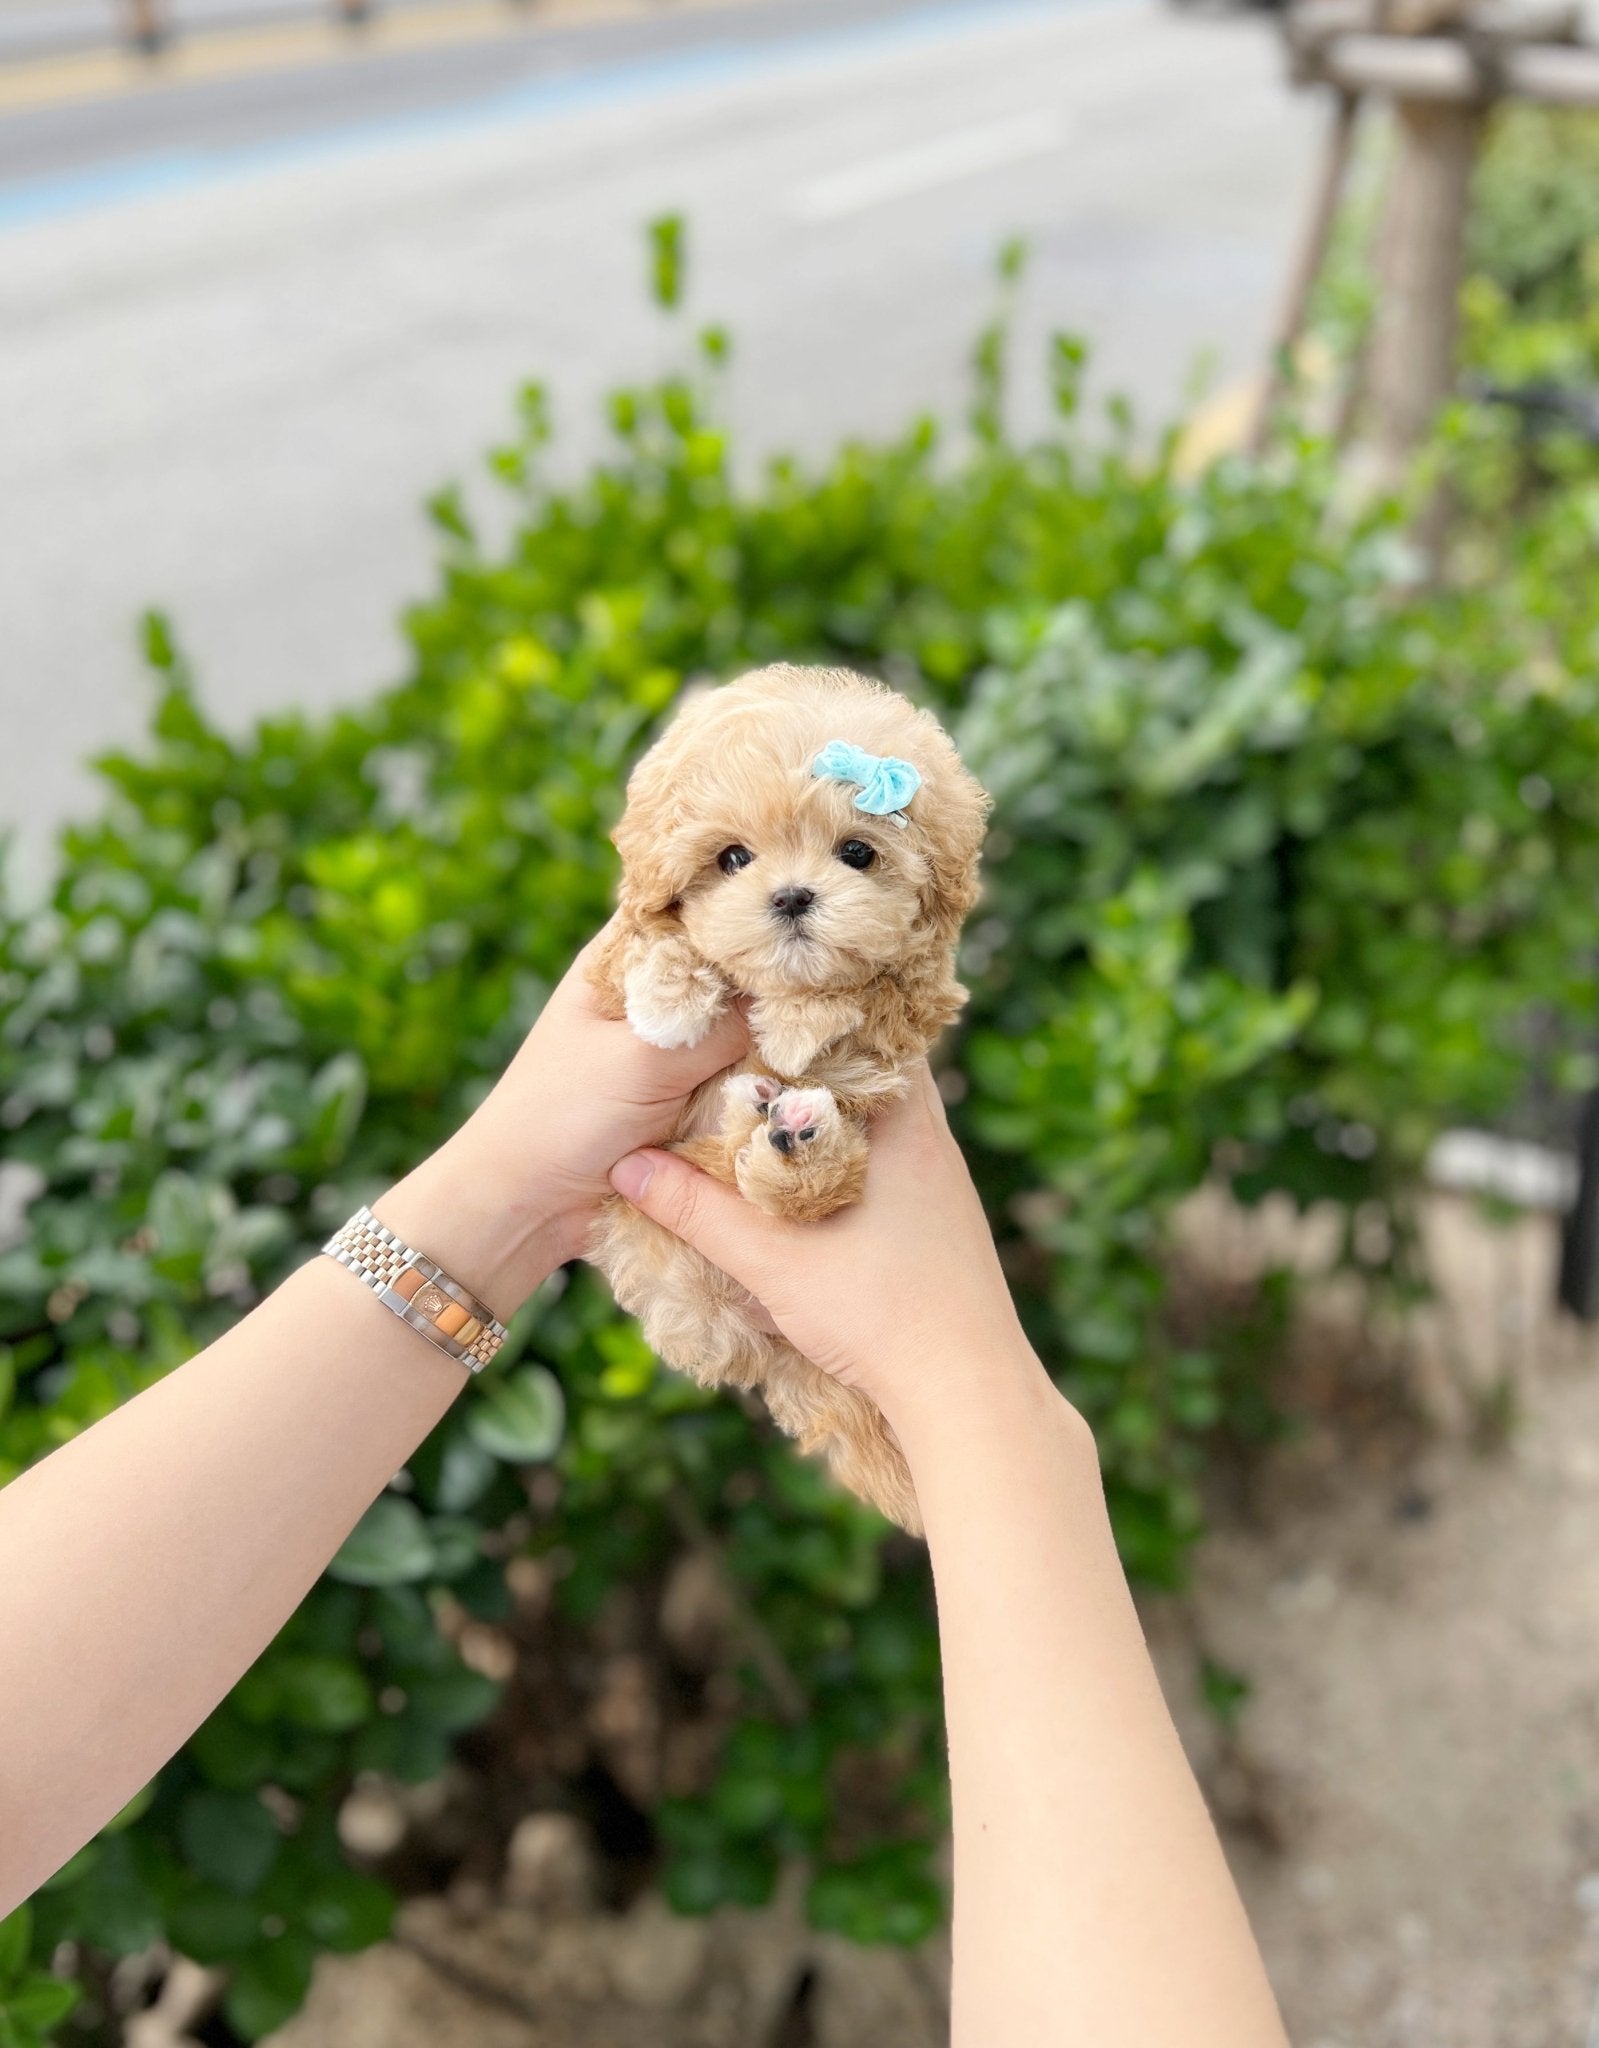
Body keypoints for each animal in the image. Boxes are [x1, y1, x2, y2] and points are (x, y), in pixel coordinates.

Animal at [585, 663, 986, 1531]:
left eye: (858, 851)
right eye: (732, 857)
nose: (794, 897)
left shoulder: (912, 1006)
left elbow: (863, 1000)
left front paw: (802, 1023)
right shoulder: (604, 968)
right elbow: (652, 940)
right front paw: (669, 999)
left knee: (789, 1186)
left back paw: (794, 1135)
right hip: (665, 1259)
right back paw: (766, 1116)